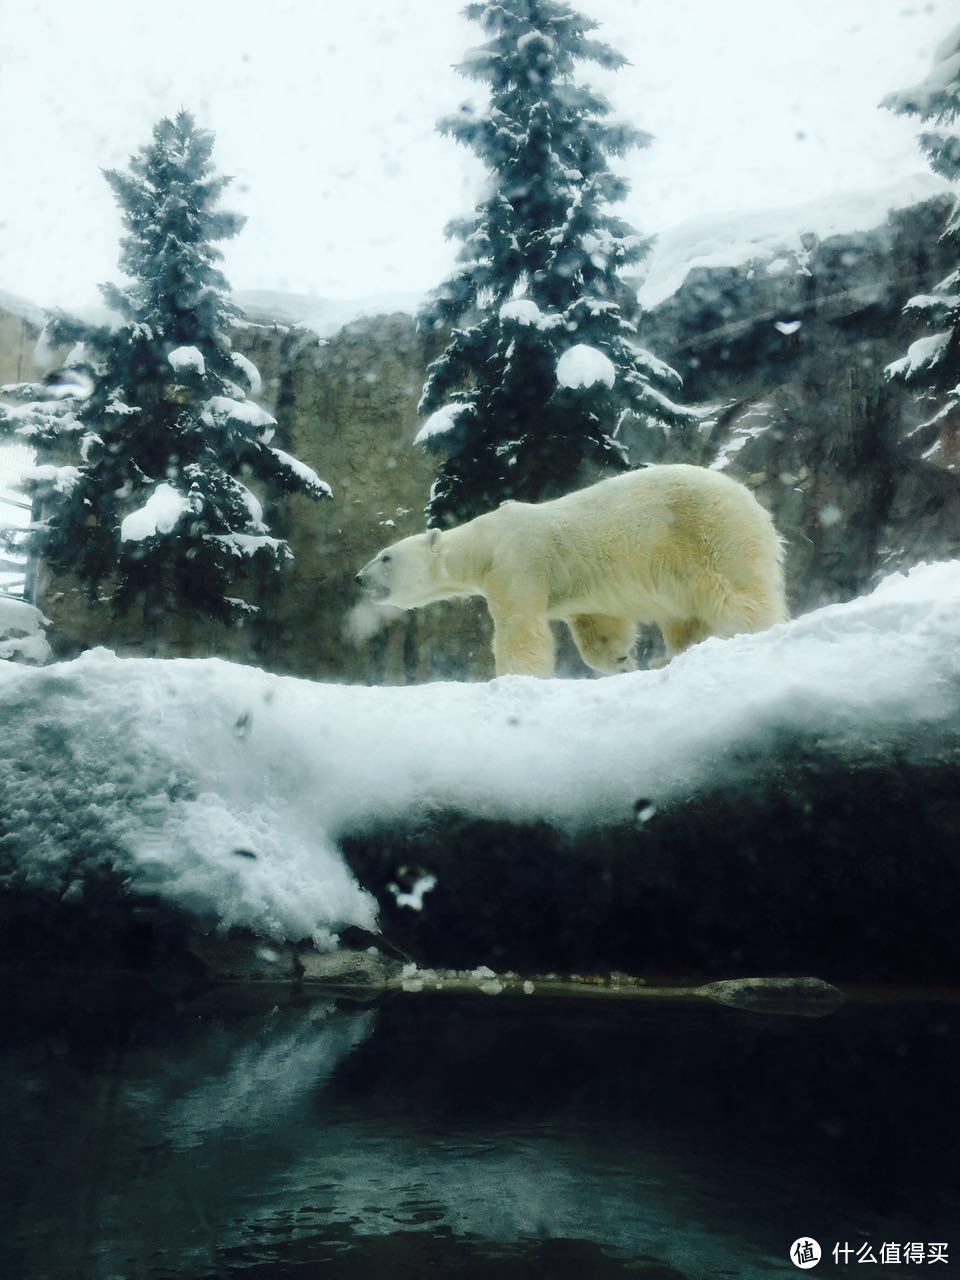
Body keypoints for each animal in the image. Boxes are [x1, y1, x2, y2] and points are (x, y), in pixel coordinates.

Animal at [358, 463, 783, 680]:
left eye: (385, 557)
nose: (359, 578)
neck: (485, 540)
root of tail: (749, 498)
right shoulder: (578, 591)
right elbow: (598, 627)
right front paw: (621, 661)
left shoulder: (517, 563)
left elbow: (518, 628)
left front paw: (515, 678)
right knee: (683, 613)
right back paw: (669, 657)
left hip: (707, 531)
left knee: (731, 591)